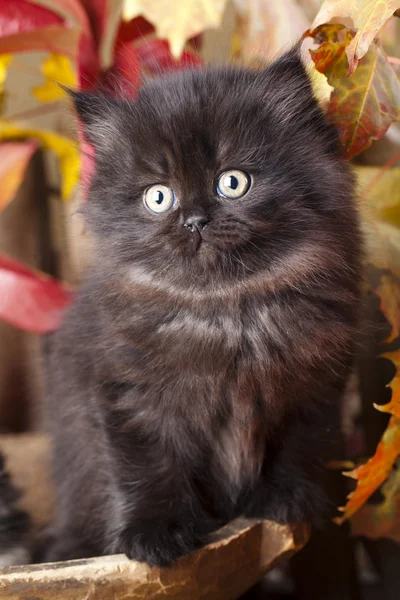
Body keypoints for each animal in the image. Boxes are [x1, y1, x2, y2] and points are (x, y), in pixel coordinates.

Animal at [43, 48, 360, 568]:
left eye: (232, 183)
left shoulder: (313, 387)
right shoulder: (129, 394)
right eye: (158, 196)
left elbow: (297, 448)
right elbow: (147, 467)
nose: (194, 221)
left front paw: (285, 499)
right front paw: (154, 535)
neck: (227, 314)